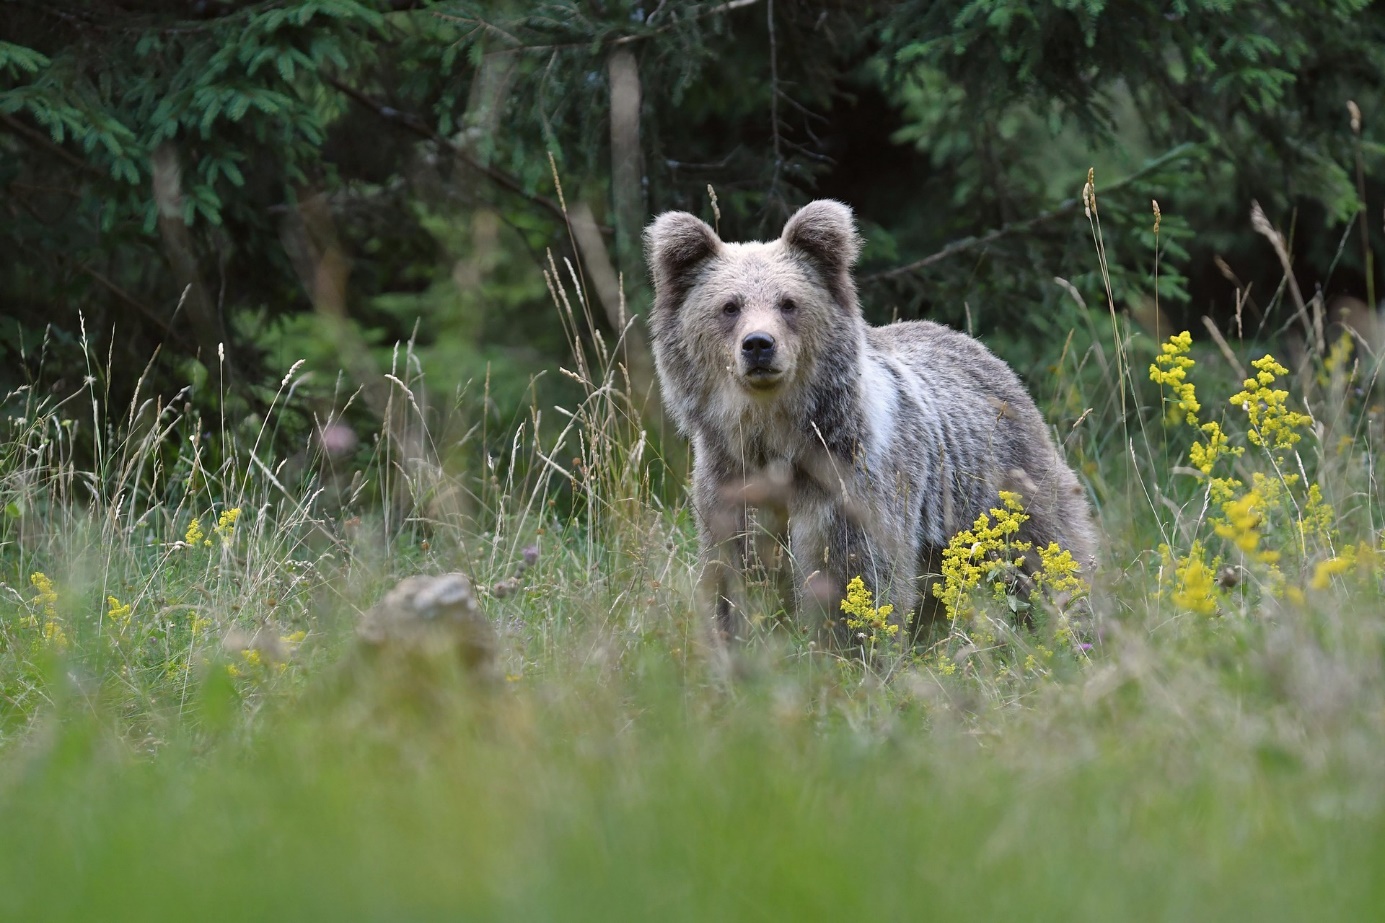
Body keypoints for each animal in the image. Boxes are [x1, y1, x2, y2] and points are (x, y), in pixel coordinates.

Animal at [642, 198, 1096, 637]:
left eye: (788, 302)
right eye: (730, 306)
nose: (758, 345)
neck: (775, 438)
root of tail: (976, 345)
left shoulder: (849, 481)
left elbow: (856, 576)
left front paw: (851, 644)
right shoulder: (730, 482)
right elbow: (733, 576)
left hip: (1002, 483)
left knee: (1046, 550)